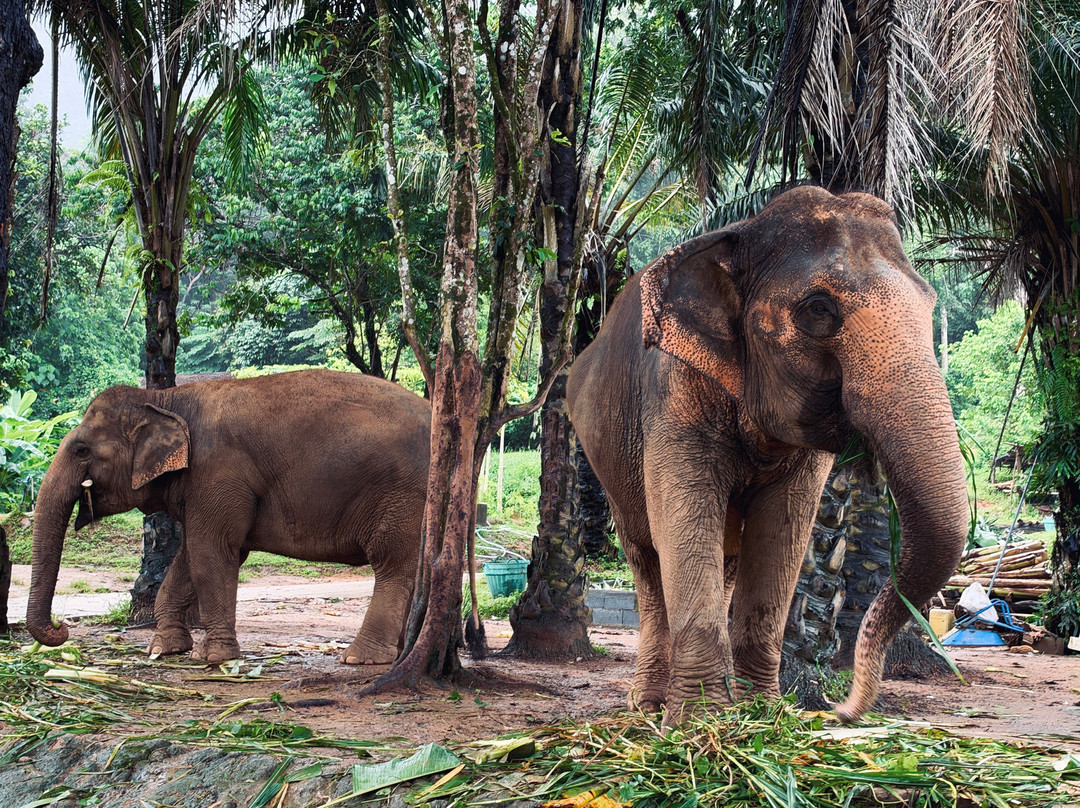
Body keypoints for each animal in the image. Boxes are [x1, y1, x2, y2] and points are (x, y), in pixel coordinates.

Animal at [27, 369, 431, 665]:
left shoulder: (218, 473)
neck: (165, 399)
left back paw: (360, 658)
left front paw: (213, 657)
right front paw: (163, 648)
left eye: (81, 450)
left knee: (392, 563)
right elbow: (189, 557)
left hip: (403, 495)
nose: (62, 628)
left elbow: (213, 553)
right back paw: (397, 652)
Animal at [567, 186, 968, 725]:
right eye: (818, 309)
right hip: (606, 458)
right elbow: (684, 514)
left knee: (724, 556)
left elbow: (783, 528)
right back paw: (648, 707)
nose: (838, 709)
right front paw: (702, 725)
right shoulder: (674, 388)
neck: (741, 235)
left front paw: (762, 714)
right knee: (645, 554)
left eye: (930, 303)